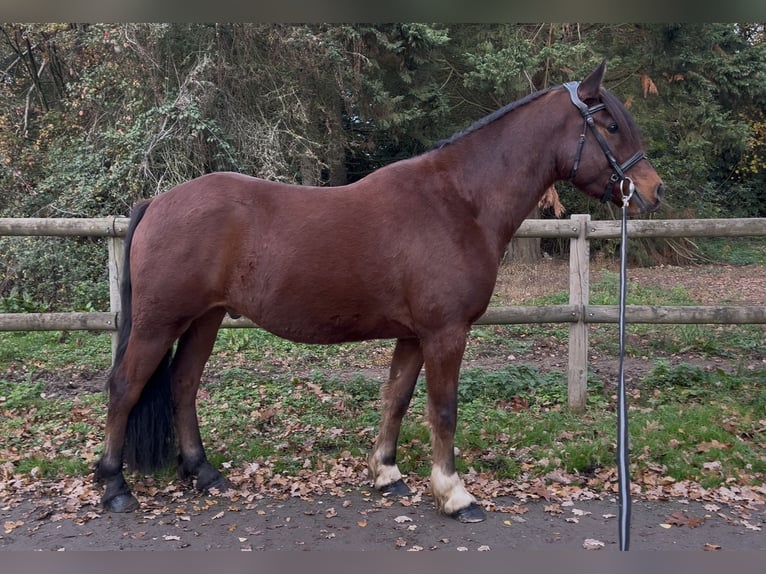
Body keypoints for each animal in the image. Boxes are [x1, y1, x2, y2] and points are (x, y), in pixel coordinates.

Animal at [94, 61, 663, 522]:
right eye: (611, 125)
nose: (653, 191)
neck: (459, 202)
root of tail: (156, 202)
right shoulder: (445, 333)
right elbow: (442, 408)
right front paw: (454, 494)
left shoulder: (414, 334)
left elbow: (397, 398)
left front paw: (386, 475)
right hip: (159, 322)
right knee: (125, 387)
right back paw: (115, 487)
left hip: (204, 319)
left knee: (184, 384)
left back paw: (204, 473)